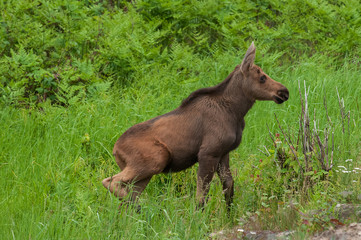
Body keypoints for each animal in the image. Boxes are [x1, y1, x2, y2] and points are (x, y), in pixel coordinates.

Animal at [102, 42, 288, 209]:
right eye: (262, 77)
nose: (284, 91)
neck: (236, 111)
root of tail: (115, 149)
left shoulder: (223, 153)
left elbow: (229, 188)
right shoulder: (208, 153)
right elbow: (201, 198)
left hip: (144, 173)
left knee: (126, 198)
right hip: (156, 159)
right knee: (111, 181)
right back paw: (142, 207)